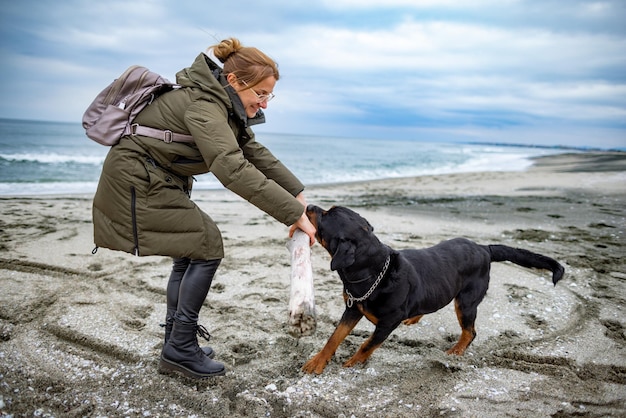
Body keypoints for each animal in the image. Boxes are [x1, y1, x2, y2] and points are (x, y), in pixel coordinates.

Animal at [300, 204, 564, 374]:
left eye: (326, 215)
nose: (309, 205)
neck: (374, 273)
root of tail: (484, 248)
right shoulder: (353, 309)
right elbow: (334, 337)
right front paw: (317, 362)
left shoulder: (388, 323)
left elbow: (367, 344)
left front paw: (353, 364)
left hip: (466, 301)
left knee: (470, 332)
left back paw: (456, 351)